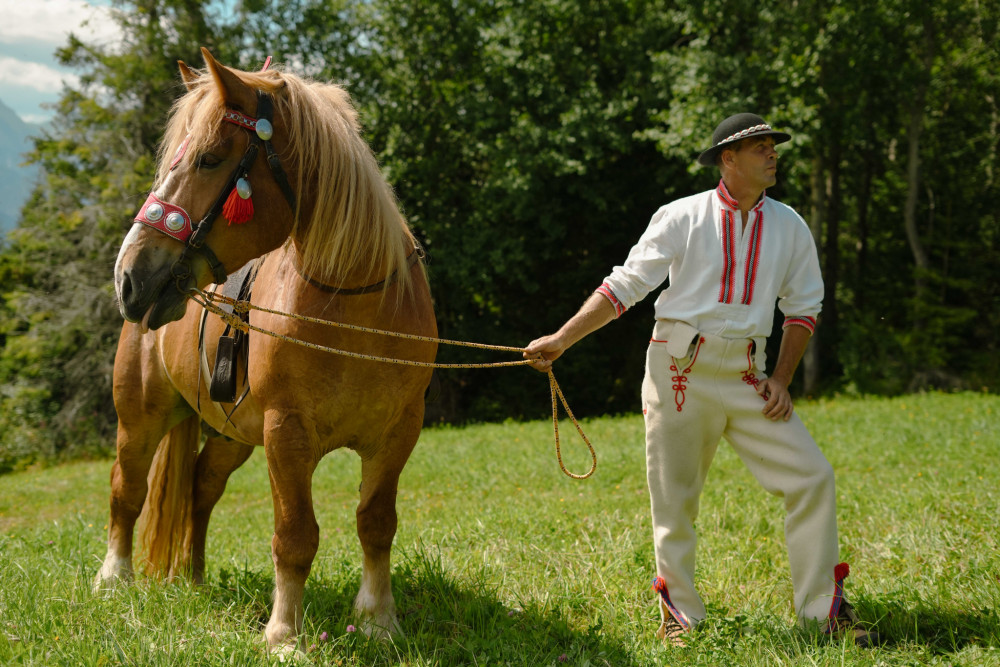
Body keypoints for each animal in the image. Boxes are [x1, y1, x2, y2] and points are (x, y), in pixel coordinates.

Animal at [97, 48, 438, 652]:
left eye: (208, 159)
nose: (128, 276)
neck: (355, 305)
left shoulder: (399, 432)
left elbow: (376, 523)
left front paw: (379, 620)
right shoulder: (287, 434)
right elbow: (294, 535)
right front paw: (284, 634)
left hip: (232, 435)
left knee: (200, 488)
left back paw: (194, 578)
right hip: (139, 418)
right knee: (126, 491)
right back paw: (114, 580)